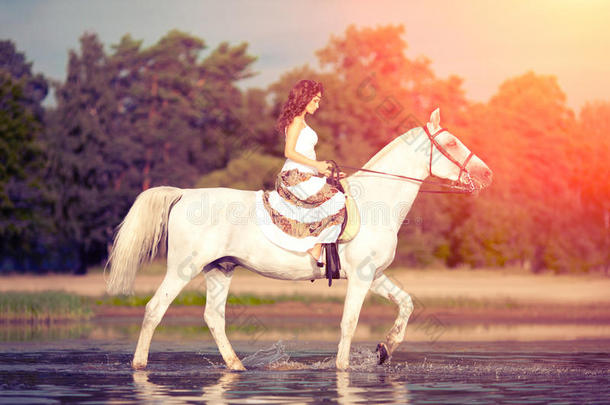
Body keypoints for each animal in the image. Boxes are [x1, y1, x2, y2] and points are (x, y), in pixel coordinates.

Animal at [105, 108, 490, 370]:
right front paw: (343, 368)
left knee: (213, 317)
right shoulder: (362, 277)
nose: (486, 173)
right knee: (155, 309)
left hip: (220, 268)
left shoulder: (374, 274)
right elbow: (349, 323)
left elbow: (406, 304)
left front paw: (385, 349)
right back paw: (139, 366)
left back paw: (236, 366)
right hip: (184, 268)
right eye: (451, 142)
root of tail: (184, 194)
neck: (378, 202)